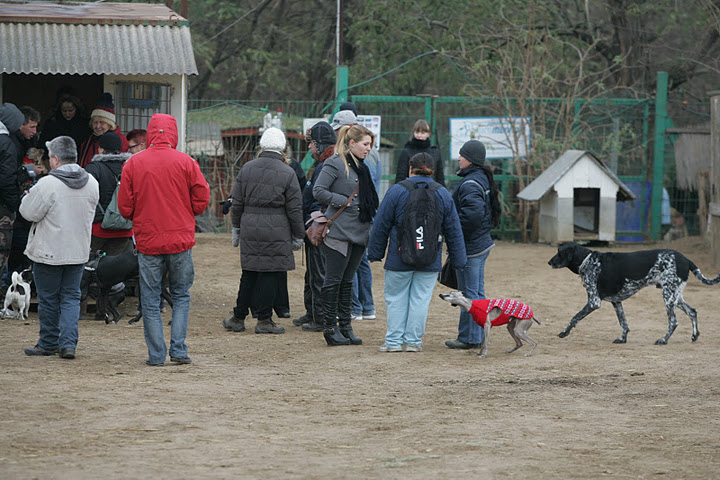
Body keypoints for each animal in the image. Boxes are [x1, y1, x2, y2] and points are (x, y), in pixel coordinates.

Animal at [548, 244, 716, 344]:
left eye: (559, 252)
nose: (549, 262)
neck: (587, 260)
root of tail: (686, 259)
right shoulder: (616, 302)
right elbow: (624, 323)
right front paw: (622, 339)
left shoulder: (594, 302)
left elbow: (574, 317)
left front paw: (564, 332)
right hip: (676, 297)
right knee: (692, 311)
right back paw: (694, 335)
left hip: (668, 297)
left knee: (673, 322)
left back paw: (663, 340)